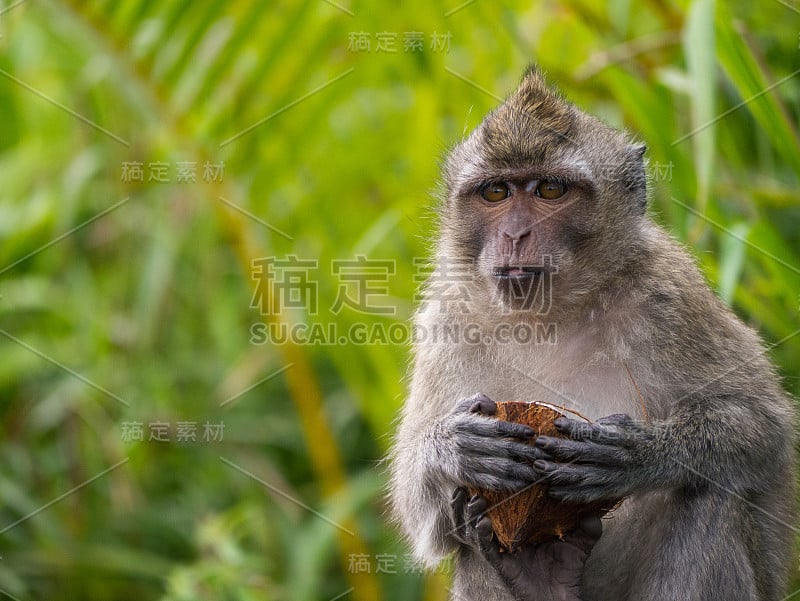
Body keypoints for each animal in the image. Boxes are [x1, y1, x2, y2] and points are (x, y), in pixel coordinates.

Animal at [388, 65, 792, 600]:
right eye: (496, 192)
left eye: (550, 191)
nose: (515, 235)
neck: (551, 314)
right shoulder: (446, 317)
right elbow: (422, 515)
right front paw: (455, 446)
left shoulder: (670, 294)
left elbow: (764, 426)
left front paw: (643, 455)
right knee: (466, 533)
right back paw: (540, 576)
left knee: (711, 495)